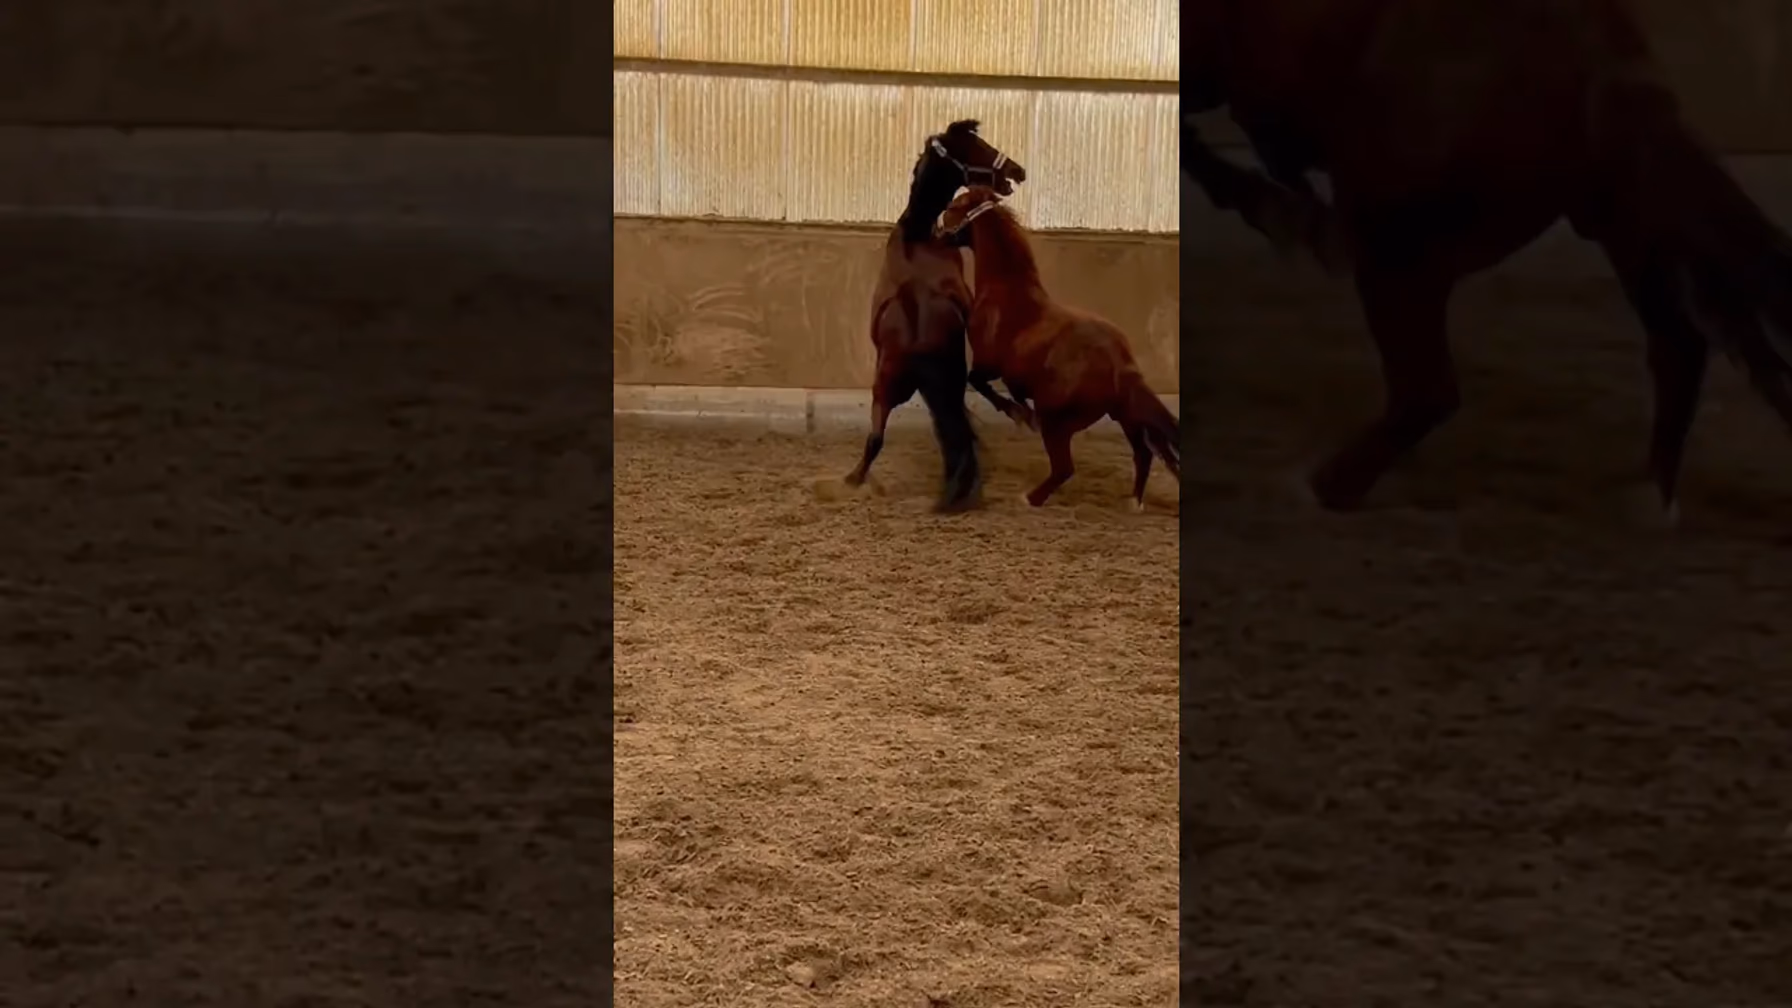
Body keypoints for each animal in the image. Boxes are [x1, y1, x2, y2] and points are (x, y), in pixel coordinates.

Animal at [844, 120, 1028, 512]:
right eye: (979, 147)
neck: (918, 235)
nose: (1017, 171)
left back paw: (854, 480)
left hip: (887, 393)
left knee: (879, 438)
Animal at [938, 187, 1181, 511]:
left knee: (1064, 467)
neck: (1007, 293)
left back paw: (1029, 498)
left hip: (1058, 424)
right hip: (1125, 415)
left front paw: (1019, 414)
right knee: (1143, 453)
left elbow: (977, 382)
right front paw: (1021, 410)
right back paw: (1134, 503)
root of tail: (1121, 366)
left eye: (954, 206)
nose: (937, 230)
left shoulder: (988, 364)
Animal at [1182, 0, 1792, 520]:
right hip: (1626, 230)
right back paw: (1649, 502)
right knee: (1677, 347)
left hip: (1397, 252)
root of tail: (1602, 63)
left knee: (1427, 391)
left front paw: (1277, 210)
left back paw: (1317, 487)